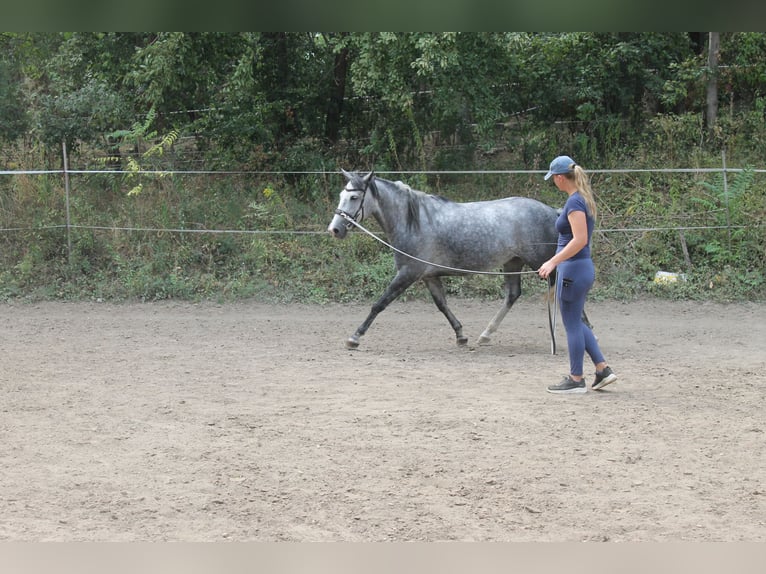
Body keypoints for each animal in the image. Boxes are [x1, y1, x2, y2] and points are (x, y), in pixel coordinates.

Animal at [328, 169, 560, 354]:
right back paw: (485, 335)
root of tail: (553, 211)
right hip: (513, 262)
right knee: (513, 295)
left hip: (542, 264)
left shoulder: (407, 273)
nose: (335, 229)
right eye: (341, 195)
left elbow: (379, 304)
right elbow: (442, 305)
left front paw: (354, 338)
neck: (413, 222)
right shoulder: (429, 277)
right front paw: (461, 336)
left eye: (354, 197)